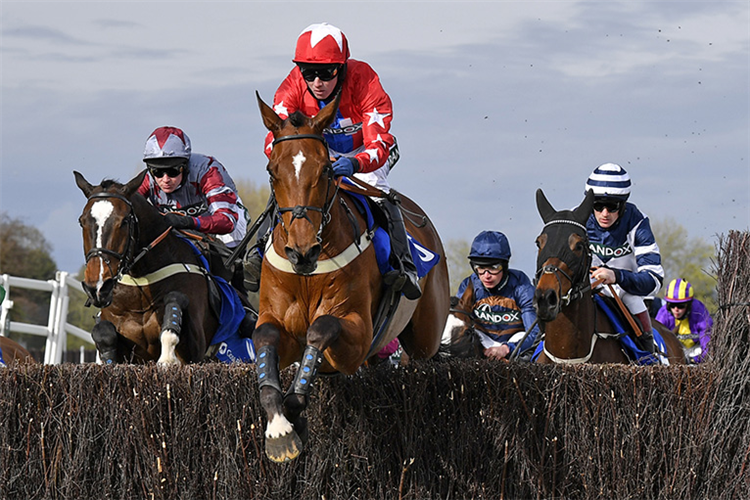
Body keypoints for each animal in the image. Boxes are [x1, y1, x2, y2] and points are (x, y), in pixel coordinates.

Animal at [75, 171, 235, 364]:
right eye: (82, 221)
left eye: (124, 221)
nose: (97, 287)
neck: (141, 285)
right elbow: (103, 332)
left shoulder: (196, 347)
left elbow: (174, 305)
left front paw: (167, 359)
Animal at [253, 92, 452, 462]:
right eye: (273, 171)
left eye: (327, 169)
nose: (302, 252)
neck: (307, 274)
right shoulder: (277, 323)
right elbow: (264, 338)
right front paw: (279, 427)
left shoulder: (355, 337)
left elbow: (321, 328)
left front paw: (293, 414)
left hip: (426, 334)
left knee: (426, 355)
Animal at [536, 189, 688, 366]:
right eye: (539, 243)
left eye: (579, 245)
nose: (546, 298)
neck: (568, 355)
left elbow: (653, 274)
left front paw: (607, 274)